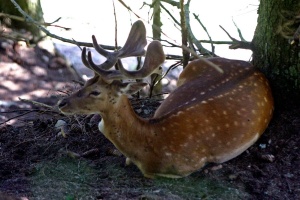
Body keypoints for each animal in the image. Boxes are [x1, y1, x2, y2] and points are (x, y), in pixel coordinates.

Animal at [58, 20, 274, 178]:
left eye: (95, 92)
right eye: (86, 82)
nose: (61, 103)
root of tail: (253, 67)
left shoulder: (189, 166)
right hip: (189, 69)